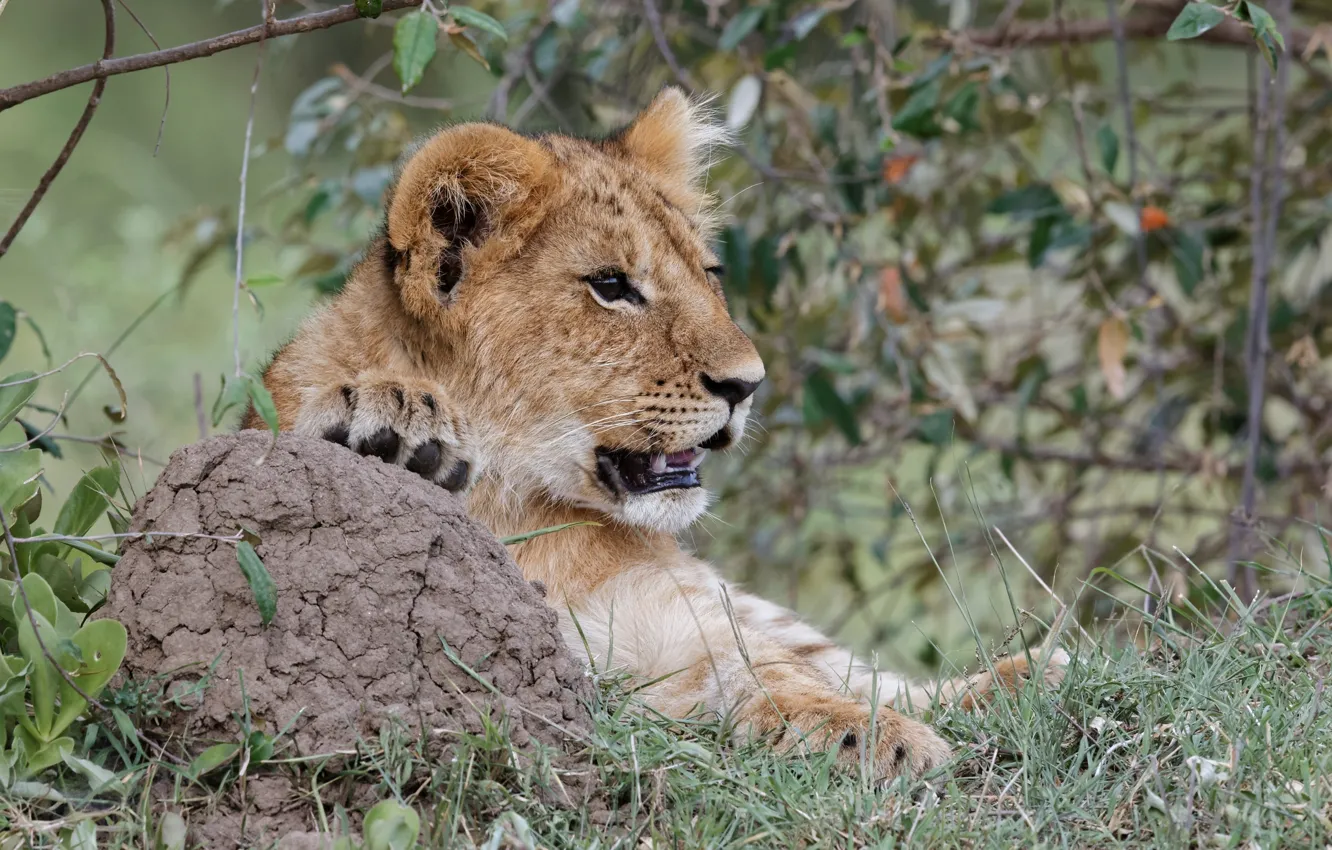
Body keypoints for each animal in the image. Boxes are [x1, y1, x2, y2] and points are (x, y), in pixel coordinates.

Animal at [249, 87, 1065, 782]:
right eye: (611, 286)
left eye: (711, 273)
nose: (748, 384)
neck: (515, 499)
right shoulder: (591, 656)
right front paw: (390, 429)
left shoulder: (681, 617)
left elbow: (773, 669)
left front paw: (876, 732)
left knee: (845, 662)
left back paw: (1031, 673)